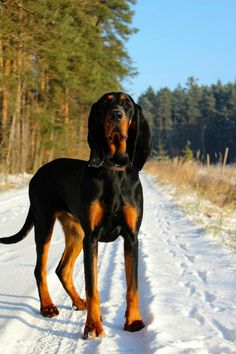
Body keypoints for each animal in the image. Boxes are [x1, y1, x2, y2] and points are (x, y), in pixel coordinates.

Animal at [0, 92, 151, 338]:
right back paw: (48, 307)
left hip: (76, 232)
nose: (116, 115)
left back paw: (79, 302)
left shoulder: (131, 237)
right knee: (40, 269)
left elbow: (133, 286)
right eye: (106, 103)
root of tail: (38, 173)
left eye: (127, 104)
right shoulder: (92, 238)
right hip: (45, 224)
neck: (114, 171)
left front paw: (134, 321)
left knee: (62, 269)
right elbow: (92, 287)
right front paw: (93, 327)